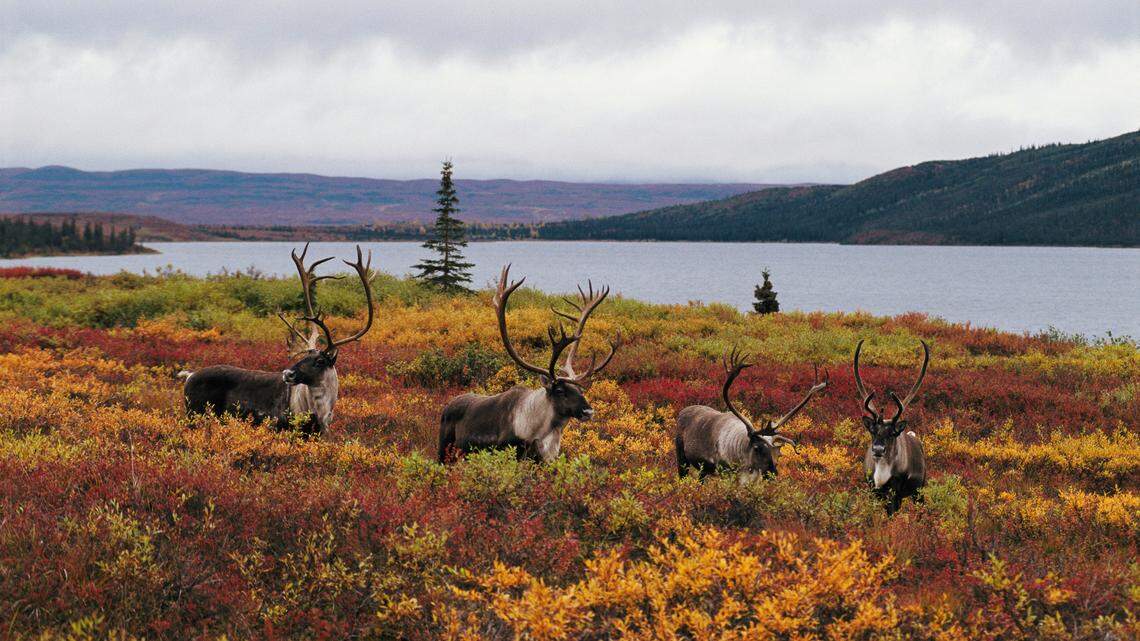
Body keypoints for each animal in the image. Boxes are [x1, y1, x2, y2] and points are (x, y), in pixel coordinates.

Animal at [180, 243, 375, 436]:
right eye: (304, 356)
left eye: (320, 361)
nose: (288, 373)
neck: (321, 413)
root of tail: (189, 376)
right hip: (194, 416)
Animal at [437, 264, 621, 463]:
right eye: (559, 390)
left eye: (581, 389)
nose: (588, 412)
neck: (543, 432)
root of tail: (446, 406)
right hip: (444, 451)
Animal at [675, 347, 828, 480]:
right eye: (757, 448)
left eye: (778, 454)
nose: (773, 474)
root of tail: (683, 411)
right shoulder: (724, 470)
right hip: (682, 458)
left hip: (703, 470)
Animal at [854, 339, 930, 514]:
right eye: (873, 431)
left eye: (892, 433)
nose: (878, 449)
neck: (882, 469)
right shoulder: (872, 488)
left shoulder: (894, 490)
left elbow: (891, 513)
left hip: (919, 489)